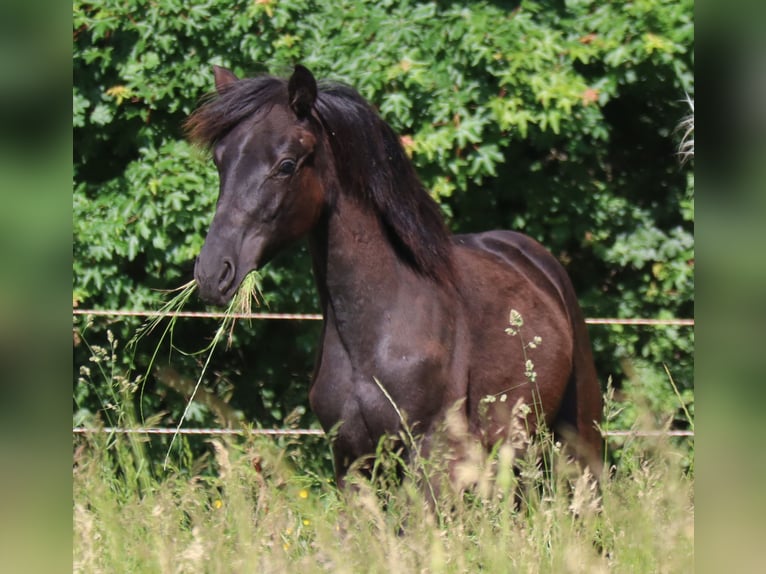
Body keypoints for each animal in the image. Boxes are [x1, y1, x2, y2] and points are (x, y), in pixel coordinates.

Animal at [188, 64, 608, 486]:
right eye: (221, 161)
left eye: (286, 164)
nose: (212, 272)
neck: (377, 331)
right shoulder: (351, 460)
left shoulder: (429, 458)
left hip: (578, 445)